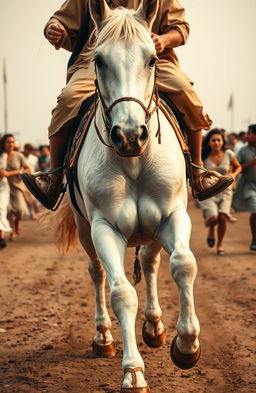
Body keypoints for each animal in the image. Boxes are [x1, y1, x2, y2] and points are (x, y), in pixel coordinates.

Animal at [59, 0, 200, 390]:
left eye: (152, 58)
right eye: (99, 60)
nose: (129, 135)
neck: (134, 161)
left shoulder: (173, 215)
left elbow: (183, 264)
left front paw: (186, 344)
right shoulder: (103, 228)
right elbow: (121, 292)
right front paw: (133, 372)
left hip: (151, 230)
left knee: (151, 264)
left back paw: (154, 326)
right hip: (84, 229)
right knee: (98, 274)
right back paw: (103, 337)